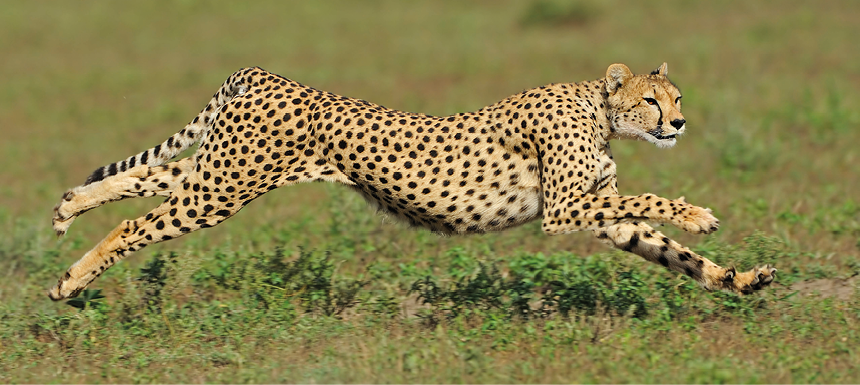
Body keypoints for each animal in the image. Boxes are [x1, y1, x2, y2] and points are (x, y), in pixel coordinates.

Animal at [48, 63, 780, 300]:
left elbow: (669, 251)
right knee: (137, 222)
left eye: (676, 96)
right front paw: (698, 213)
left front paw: (739, 278)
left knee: (144, 177)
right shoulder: (565, 208)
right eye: (653, 100)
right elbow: (653, 202)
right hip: (224, 187)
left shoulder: (599, 213)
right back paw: (70, 283)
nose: (679, 122)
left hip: (219, 170)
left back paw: (66, 209)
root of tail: (262, 74)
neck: (600, 111)